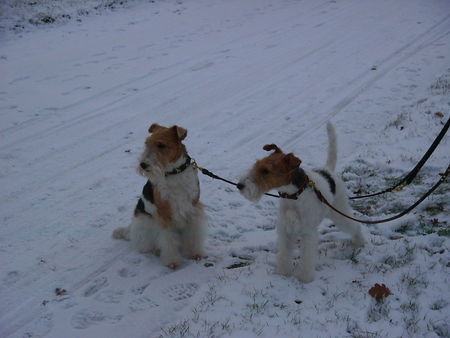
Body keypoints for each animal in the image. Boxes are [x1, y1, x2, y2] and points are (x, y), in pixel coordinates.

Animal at [112, 123, 206, 268]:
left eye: (161, 145)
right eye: (146, 143)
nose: (143, 165)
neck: (174, 173)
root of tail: (130, 229)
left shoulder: (193, 208)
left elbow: (193, 235)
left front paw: (196, 254)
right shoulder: (164, 214)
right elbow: (168, 240)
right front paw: (172, 262)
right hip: (146, 224)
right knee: (146, 246)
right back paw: (156, 251)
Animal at [237, 123, 364, 282]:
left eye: (266, 171)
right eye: (257, 164)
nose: (239, 185)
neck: (293, 196)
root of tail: (328, 170)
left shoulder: (307, 232)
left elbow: (307, 257)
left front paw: (305, 278)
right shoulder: (285, 230)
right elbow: (284, 254)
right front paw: (283, 273)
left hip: (339, 211)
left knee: (354, 225)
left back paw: (360, 242)